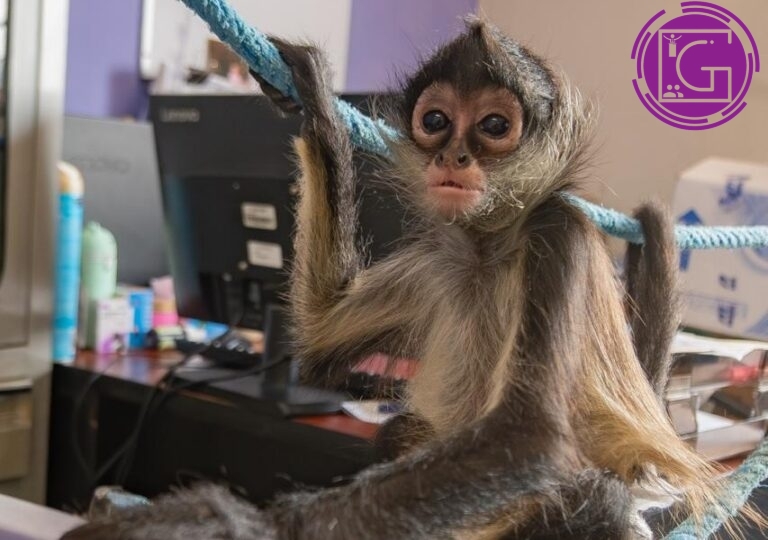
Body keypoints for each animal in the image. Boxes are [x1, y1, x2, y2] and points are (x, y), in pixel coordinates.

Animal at [63, 19, 741, 540]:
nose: (453, 156)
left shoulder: (560, 229)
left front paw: (239, 526)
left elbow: (532, 438)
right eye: (435, 120)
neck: (487, 249)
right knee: (399, 430)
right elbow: (320, 345)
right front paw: (316, 101)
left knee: (591, 494)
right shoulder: (436, 260)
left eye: (494, 127)